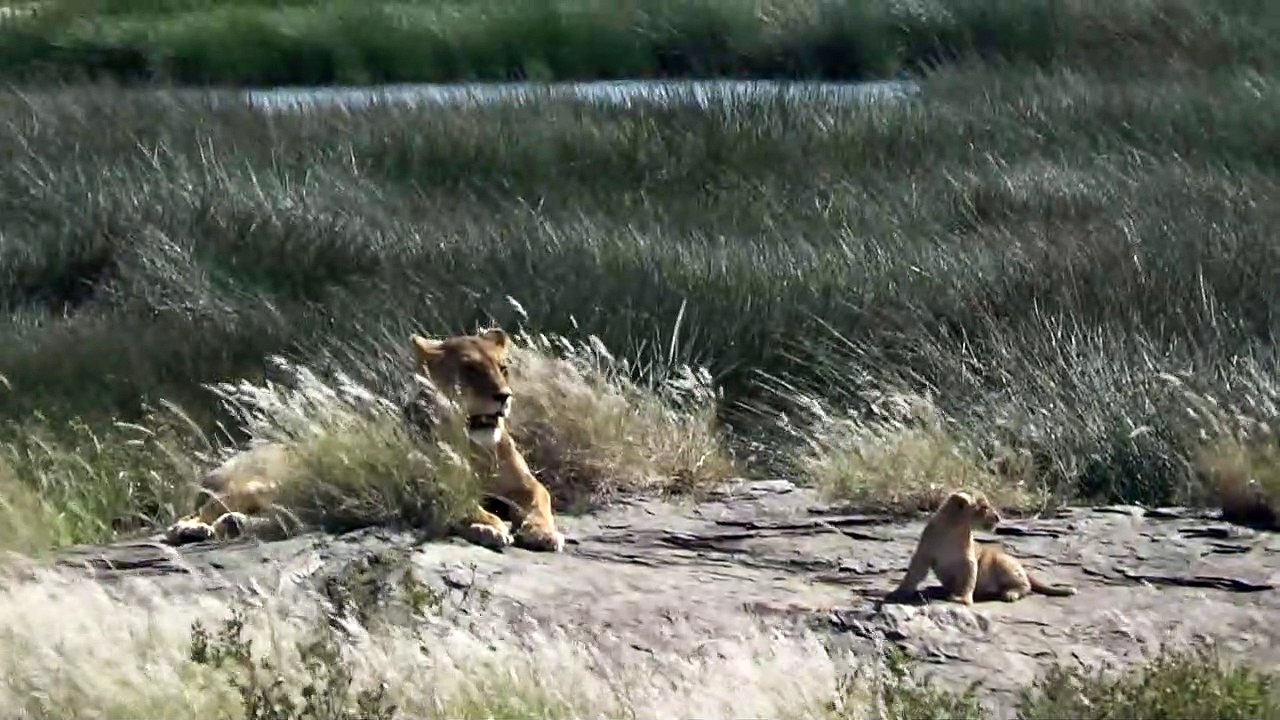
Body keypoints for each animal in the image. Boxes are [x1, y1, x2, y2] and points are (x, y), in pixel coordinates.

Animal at [162, 328, 565, 553]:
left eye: (503, 368)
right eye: (468, 369)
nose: (504, 396)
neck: (472, 445)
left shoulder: (524, 484)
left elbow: (542, 497)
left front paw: (543, 533)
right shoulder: (425, 486)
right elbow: (465, 503)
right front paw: (491, 525)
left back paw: (233, 525)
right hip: (259, 482)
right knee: (194, 514)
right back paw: (191, 528)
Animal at [884, 489, 1076, 605]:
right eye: (984, 507)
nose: (998, 517)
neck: (953, 528)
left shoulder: (968, 560)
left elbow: (968, 579)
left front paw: (962, 599)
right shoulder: (924, 554)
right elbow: (912, 575)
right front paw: (898, 593)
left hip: (1002, 562)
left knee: (1026, 586)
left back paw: (1010, 594)